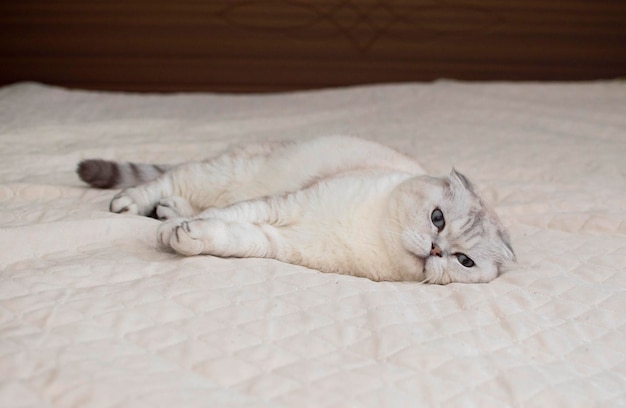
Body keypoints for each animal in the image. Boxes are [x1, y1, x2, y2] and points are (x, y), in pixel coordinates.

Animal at [78, 136, 512, 284]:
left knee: (189, 200)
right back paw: (131, 204)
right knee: (168, 182)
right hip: (223, 173)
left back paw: (169, 213)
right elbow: (229, 215)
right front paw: (180, 230)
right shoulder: (283, 204)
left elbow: (226, 233)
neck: (370, 234)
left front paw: (184, 234)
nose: (437, 250)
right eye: (437, 218)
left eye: (464, 261)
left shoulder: (275, 241)